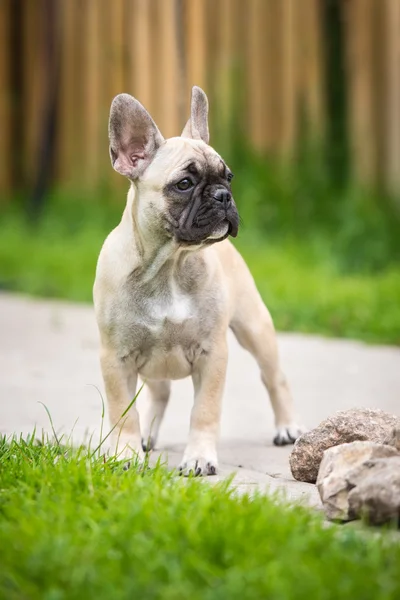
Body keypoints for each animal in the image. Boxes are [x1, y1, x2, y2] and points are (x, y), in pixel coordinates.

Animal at [92, 86, 302, 476]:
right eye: (184, 184)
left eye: (228, 177)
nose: (224, 196)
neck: (169, 266)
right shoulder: (117, 358)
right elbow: (122, 413)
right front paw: (124, 452)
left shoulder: (211, 354)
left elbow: (204, 410)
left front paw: (200, 457)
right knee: (159, 393)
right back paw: (146, 436)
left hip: (255, 328)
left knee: (274, 377)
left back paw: (288, 426)